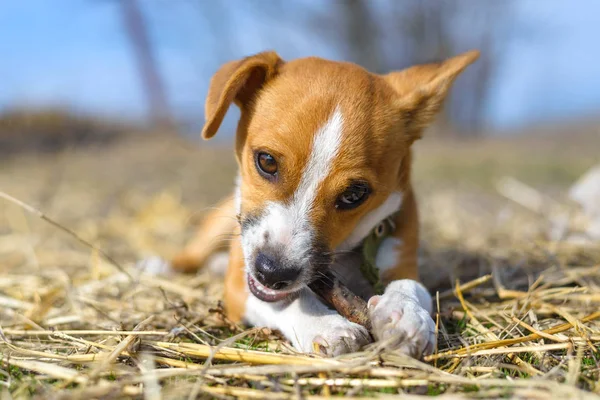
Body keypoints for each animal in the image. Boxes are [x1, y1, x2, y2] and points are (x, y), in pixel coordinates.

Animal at [168, 48, 478, 358]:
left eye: (355, 194)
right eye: (266, 161)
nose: (272, 273)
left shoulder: (400, 256)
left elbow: (412, 286)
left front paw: (407, 316)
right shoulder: (239, 285)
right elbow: (287, 300)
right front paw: (328, 326)